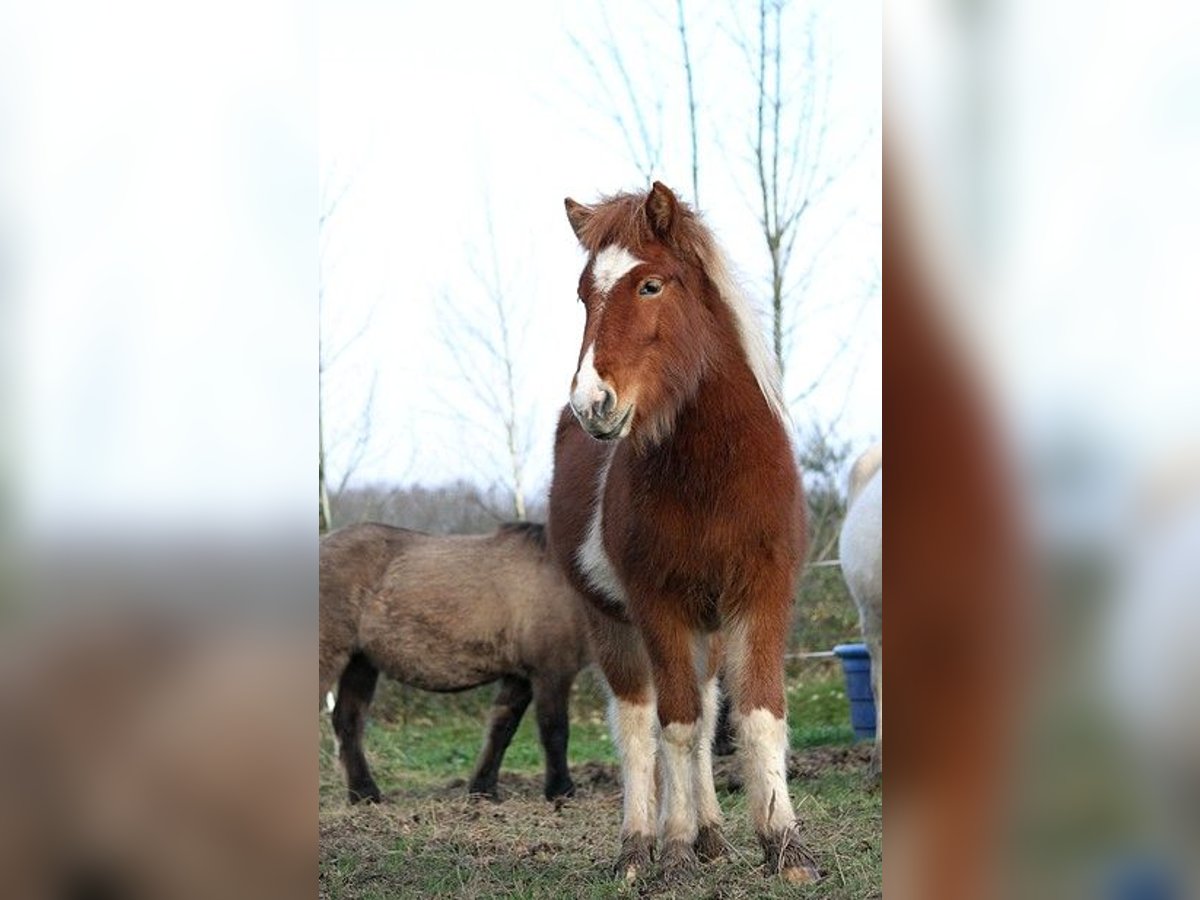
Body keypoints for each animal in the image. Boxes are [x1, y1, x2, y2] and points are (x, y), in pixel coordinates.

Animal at [549, 184, 820, 888]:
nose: (592, 403)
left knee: (704, 716)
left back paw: (714, 838)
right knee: (640, 725)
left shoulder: (761, 595)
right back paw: (641, 847)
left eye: (650, 285)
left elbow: (757, 717)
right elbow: (671, 725)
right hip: (613, 624)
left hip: (711, 627)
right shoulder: (658, 605)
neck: (713, 474)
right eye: (583, 294)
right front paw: (671, 853)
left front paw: (784, 848)